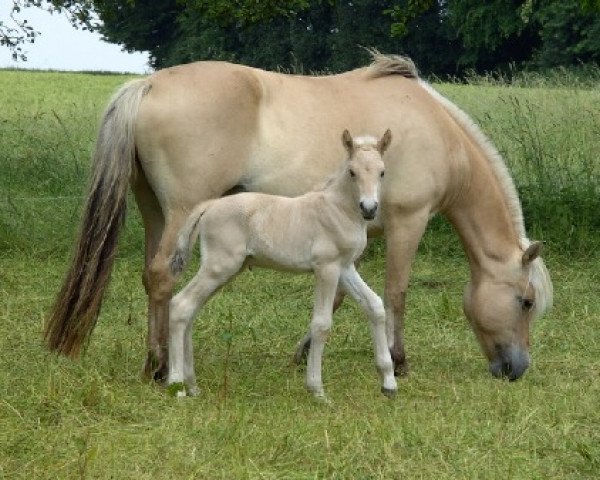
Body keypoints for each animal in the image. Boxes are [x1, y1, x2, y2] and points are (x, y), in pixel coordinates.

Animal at [166, 129, 396, 400]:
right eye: (352, 172)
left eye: (382, 172)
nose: (369, 208)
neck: (338, 209)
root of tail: (209, 205)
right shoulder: (326, 267)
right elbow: (321, 324)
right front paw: (317, 390)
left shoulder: (345, 267)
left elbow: (374, 306)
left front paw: (389, 382)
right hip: (219, 266)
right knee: (180, 305)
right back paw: (177, 386)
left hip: (225, 271)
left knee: (190, 311)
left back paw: (192, 386)